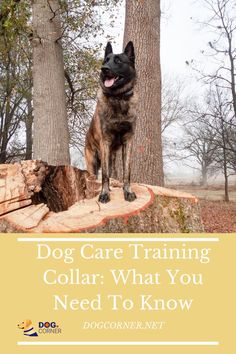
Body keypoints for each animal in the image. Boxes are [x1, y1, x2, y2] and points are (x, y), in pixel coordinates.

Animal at [85, 41, 137, 203]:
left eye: (118, 61)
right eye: (105, 60)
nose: (104, 69)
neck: (118, 98)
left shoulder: (128, 141)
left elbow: (127, 172)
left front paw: (127, 191)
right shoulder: (105, 141)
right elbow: (105, 175)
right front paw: (104, 193)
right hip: (93, 162)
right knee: (95, 176)